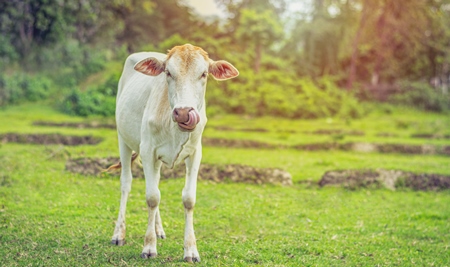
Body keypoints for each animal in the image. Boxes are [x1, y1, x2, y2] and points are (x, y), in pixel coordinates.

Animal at [108, 44, 239, 264]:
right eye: (168, 73)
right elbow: (152, 197)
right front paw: (149, 247)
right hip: (122, 139)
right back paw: (119, 234)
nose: (184, 112)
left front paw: (191, 250)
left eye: (204, 74)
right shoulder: (148, 151)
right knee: (126, 183)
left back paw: (159, 229)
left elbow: (188, 199)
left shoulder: (195, 154)